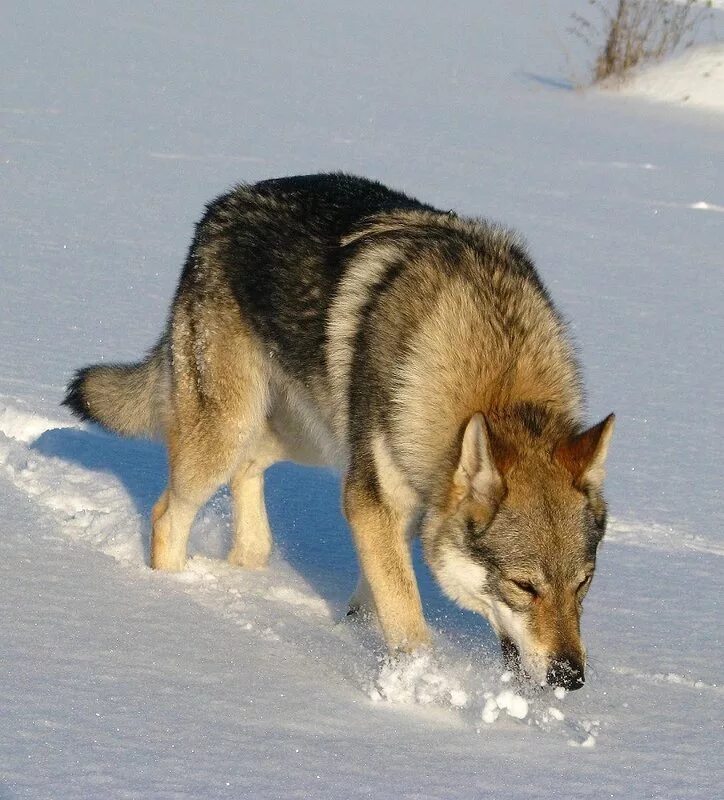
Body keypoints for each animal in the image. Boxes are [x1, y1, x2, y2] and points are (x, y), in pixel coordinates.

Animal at [65, 172, 612, 692]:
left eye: (583, 583)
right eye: (524, 586)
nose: (571, 677)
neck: (497, 374)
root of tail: (221, 206)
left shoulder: (387, 509)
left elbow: (377, 597)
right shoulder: (369, 501)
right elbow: (406, 618)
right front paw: (420, 688)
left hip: (306, 437)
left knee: (249, 473)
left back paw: (247, 565)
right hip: (228, 430)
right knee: (167, 515)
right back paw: (173, 596)